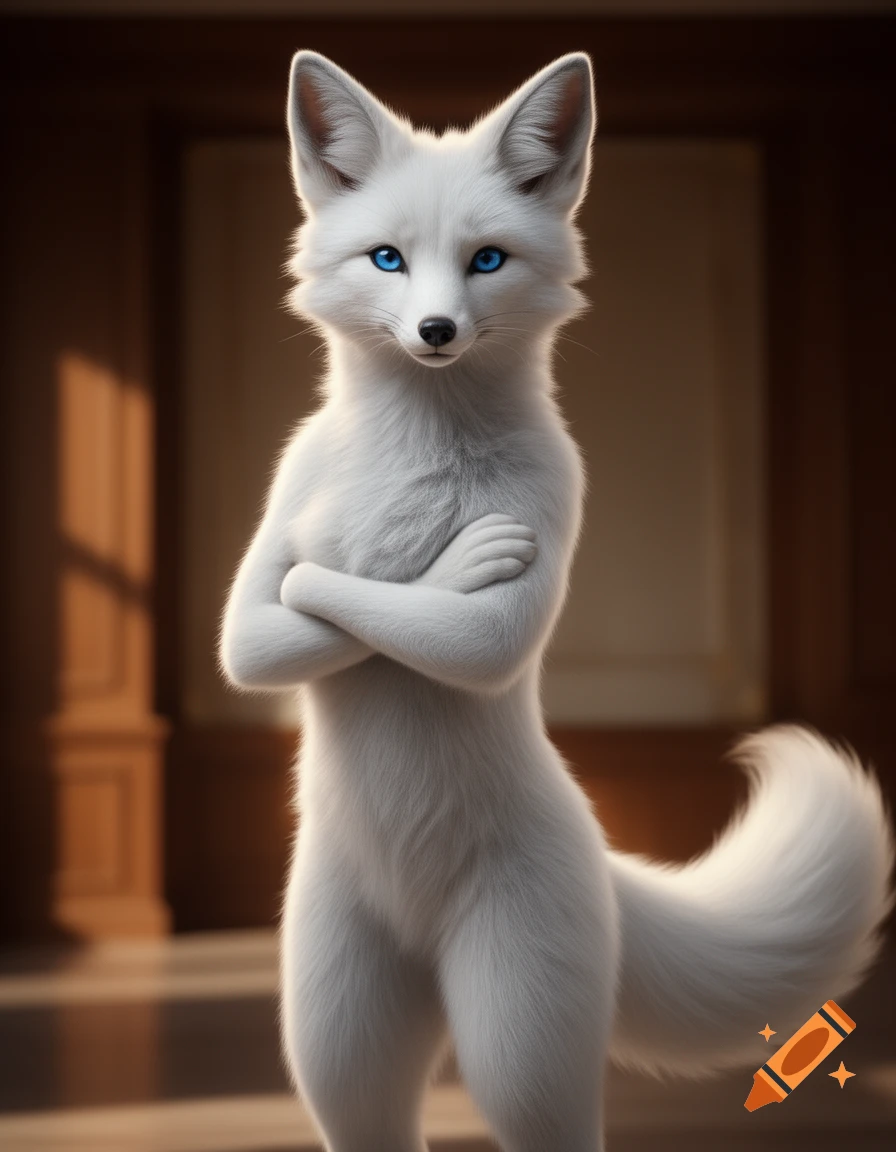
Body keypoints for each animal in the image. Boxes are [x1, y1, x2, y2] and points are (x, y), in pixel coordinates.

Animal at [219, 50, 894, 1152]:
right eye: (387, 259)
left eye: (486, 260)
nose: (436, 329)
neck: (421, 455)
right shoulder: (286, 497)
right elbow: (262, 625)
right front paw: (410, 566)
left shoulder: (559, 489)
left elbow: (471, 634)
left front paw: (456, 564)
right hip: (339, 1039)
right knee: (365, 1109)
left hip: (517, 1045)